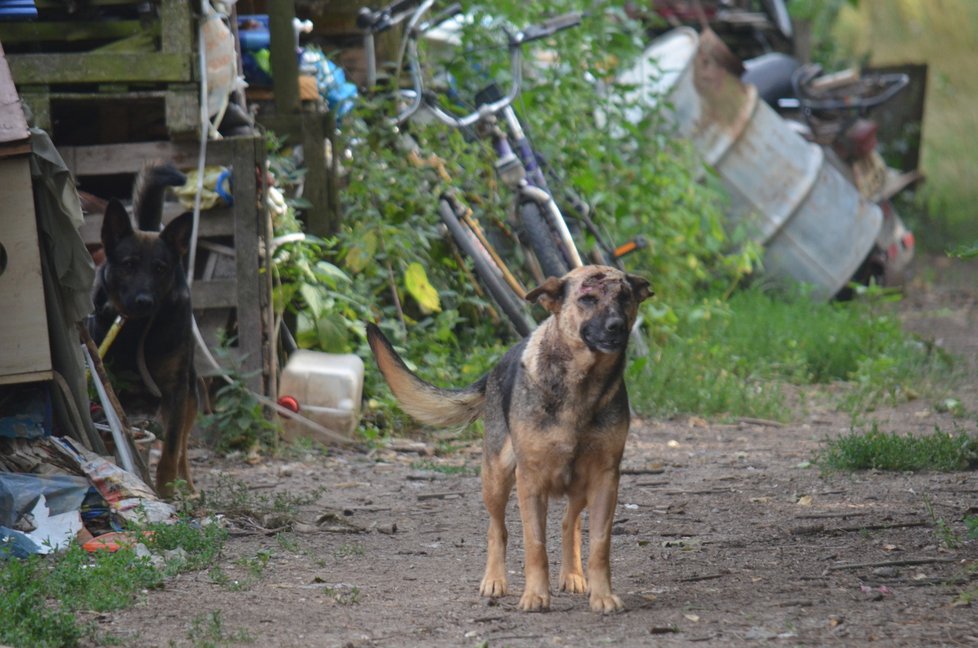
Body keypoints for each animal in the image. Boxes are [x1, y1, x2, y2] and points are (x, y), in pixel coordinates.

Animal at [89, 162, 198, 496]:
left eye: (160, 269)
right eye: (128, 265)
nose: (144, 301)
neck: (136, 331)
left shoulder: (176, 390)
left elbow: (171, 451)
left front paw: (165, 493)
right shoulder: (109, 388)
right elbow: (117, 439)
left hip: (190, 392)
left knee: (183, 447)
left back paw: (188, 487)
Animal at [366, 264, 648, 612]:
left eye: (625, 297)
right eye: (587, 299)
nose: (617, 326)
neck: (582, 386)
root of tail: (496, 366)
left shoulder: (605, 478)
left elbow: (599, 544)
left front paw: (602, 595)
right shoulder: (530, 479)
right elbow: (534, 545)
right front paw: (535, 595)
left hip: (580, 484)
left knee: (569, 522)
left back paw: (572, 574)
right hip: (497, 478)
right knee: (496, 529)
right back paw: (494, 580)